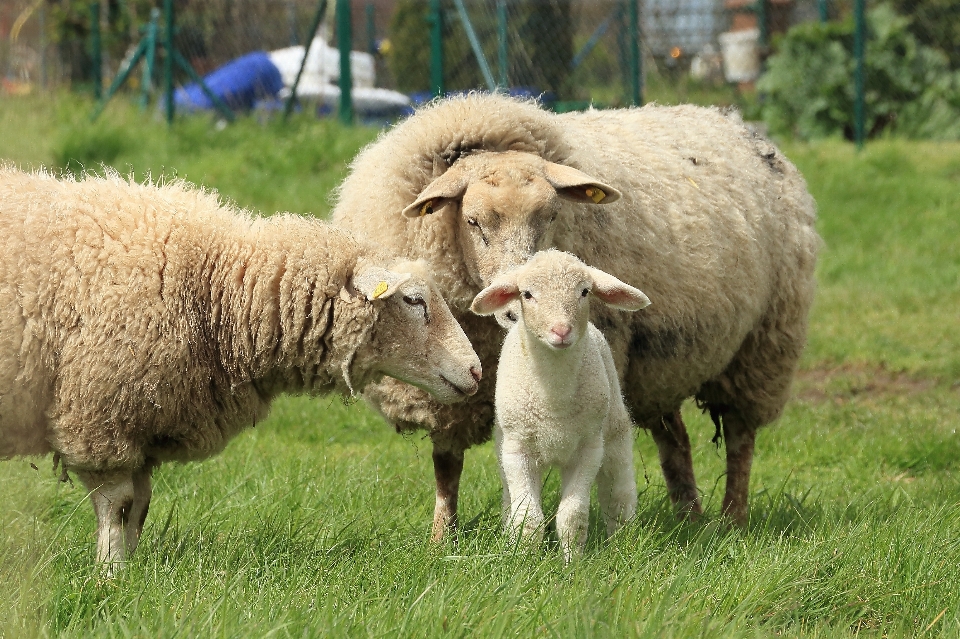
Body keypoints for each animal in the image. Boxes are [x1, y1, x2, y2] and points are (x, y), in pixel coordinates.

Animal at [0, 168, 480, 568]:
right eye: (413, 300)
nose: (476, 371)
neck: (213, 285)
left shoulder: (141, 420)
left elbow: (140, 504)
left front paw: (132, 572)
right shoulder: (100, 417)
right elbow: (117, 505)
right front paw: (110, 575)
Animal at [470, 250, 648, 560]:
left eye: (585, 291)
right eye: (527, 294)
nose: (561, 330)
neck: (553, 399)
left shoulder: (588, 449)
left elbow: (572, 516)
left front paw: (572, 562)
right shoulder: (518, 450)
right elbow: (527, 517)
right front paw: (522, 558)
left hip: (613, 432)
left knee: (618, 491)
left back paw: (623, 542)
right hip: (505, 443)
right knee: (510, 499)